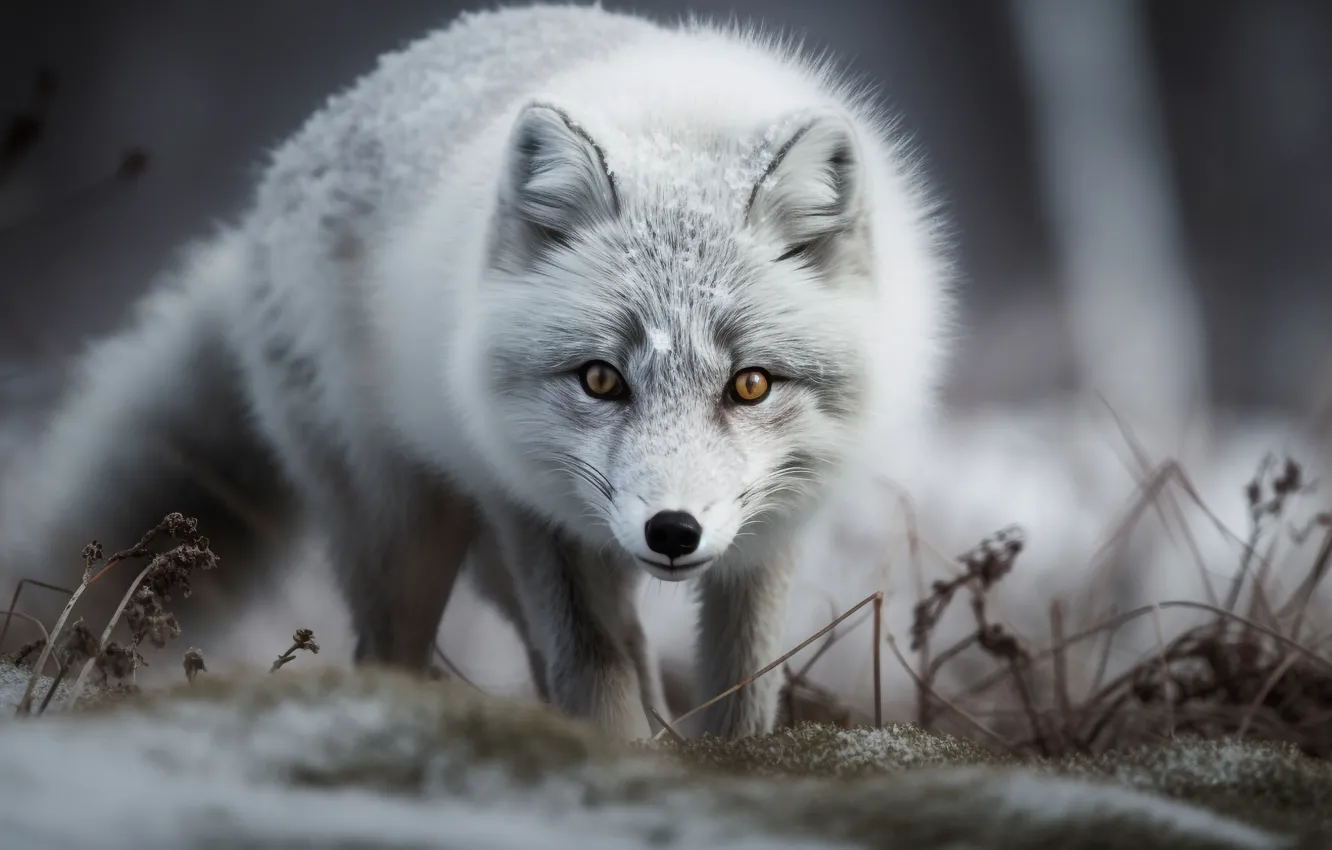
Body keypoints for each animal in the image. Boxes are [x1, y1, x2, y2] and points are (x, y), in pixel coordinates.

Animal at [0, 3, 952, 739]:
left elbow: (743, 681)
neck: (680, 117)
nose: (672, 532)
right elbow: (590, 664)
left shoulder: (776, 529)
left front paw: (723, 764)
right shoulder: (525, 505)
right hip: (405, 527)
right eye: (601, 379)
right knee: (394, 650)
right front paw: (620, 758)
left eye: (750, 384)